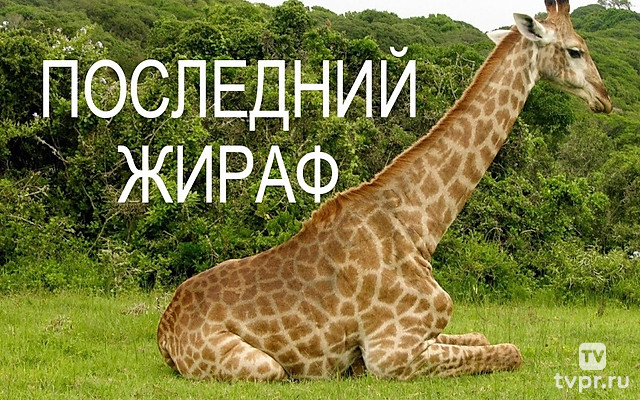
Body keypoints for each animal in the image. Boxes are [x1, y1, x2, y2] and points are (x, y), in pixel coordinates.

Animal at [157, 0, 612, 381]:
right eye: (575, 50)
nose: (605, 99)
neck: (418, 226)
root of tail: (164, 333)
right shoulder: (391, 354)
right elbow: (511, 351)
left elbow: (483, 338)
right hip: (262, 367)